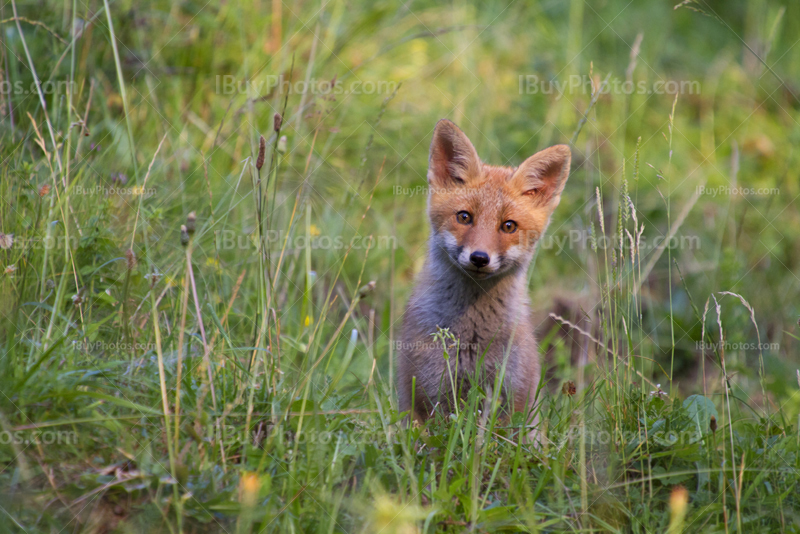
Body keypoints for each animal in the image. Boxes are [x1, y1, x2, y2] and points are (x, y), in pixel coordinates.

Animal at [398, 118, 572, 440]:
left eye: (508, 226)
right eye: (464, 217)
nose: (480, 257)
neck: (471, 338)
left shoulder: (513, 401)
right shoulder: (426, 399)